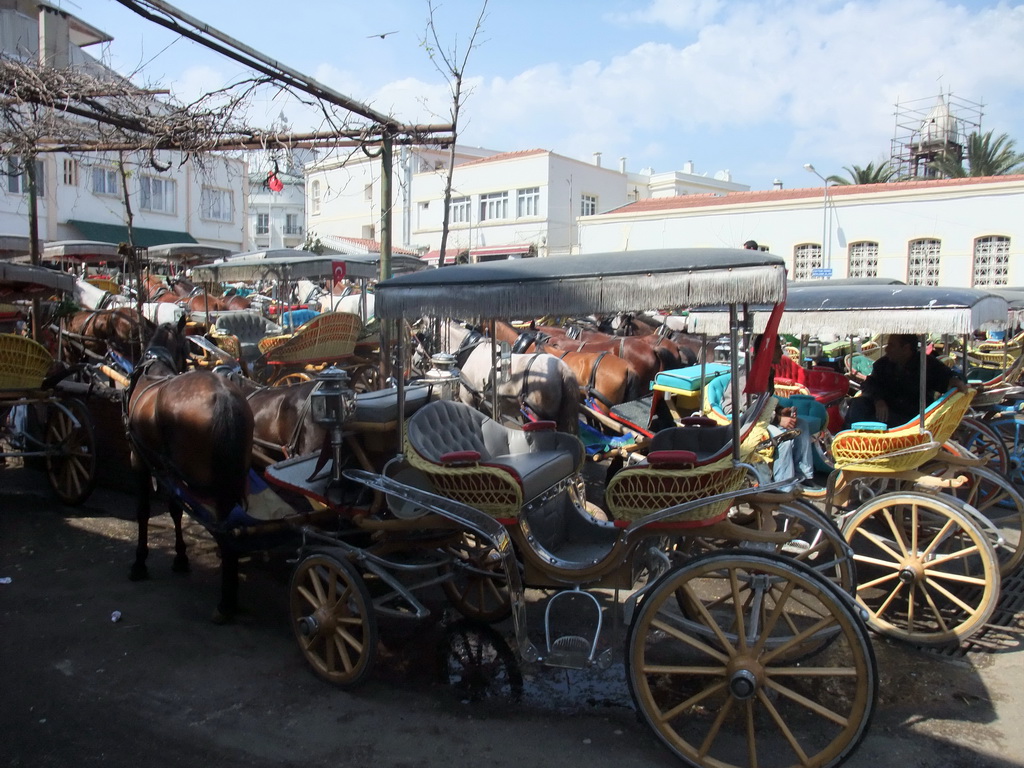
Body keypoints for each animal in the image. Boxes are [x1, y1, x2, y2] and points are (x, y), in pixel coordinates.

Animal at [126, 315, 256, 622]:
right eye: (188, 346)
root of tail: (224, 398)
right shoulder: (167, 469)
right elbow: (175, 510)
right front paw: (181, 557)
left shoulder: (138, 459)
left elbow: (144, 511)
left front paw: (140, 561)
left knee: (223, 529)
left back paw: (226, 602)